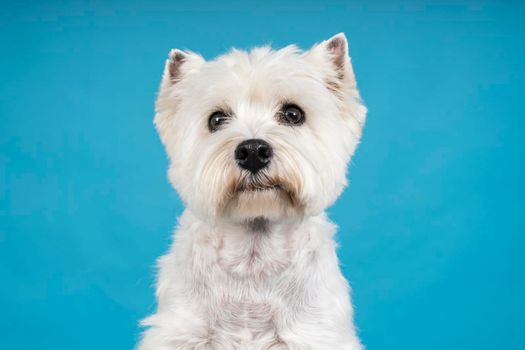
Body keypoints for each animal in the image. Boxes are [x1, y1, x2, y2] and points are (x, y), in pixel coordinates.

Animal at [141, 33, 366, 350]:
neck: (254, 255)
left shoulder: (313, 333)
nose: (253, 152)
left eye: (293, 114)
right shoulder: (183, 332)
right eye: (216, 119)